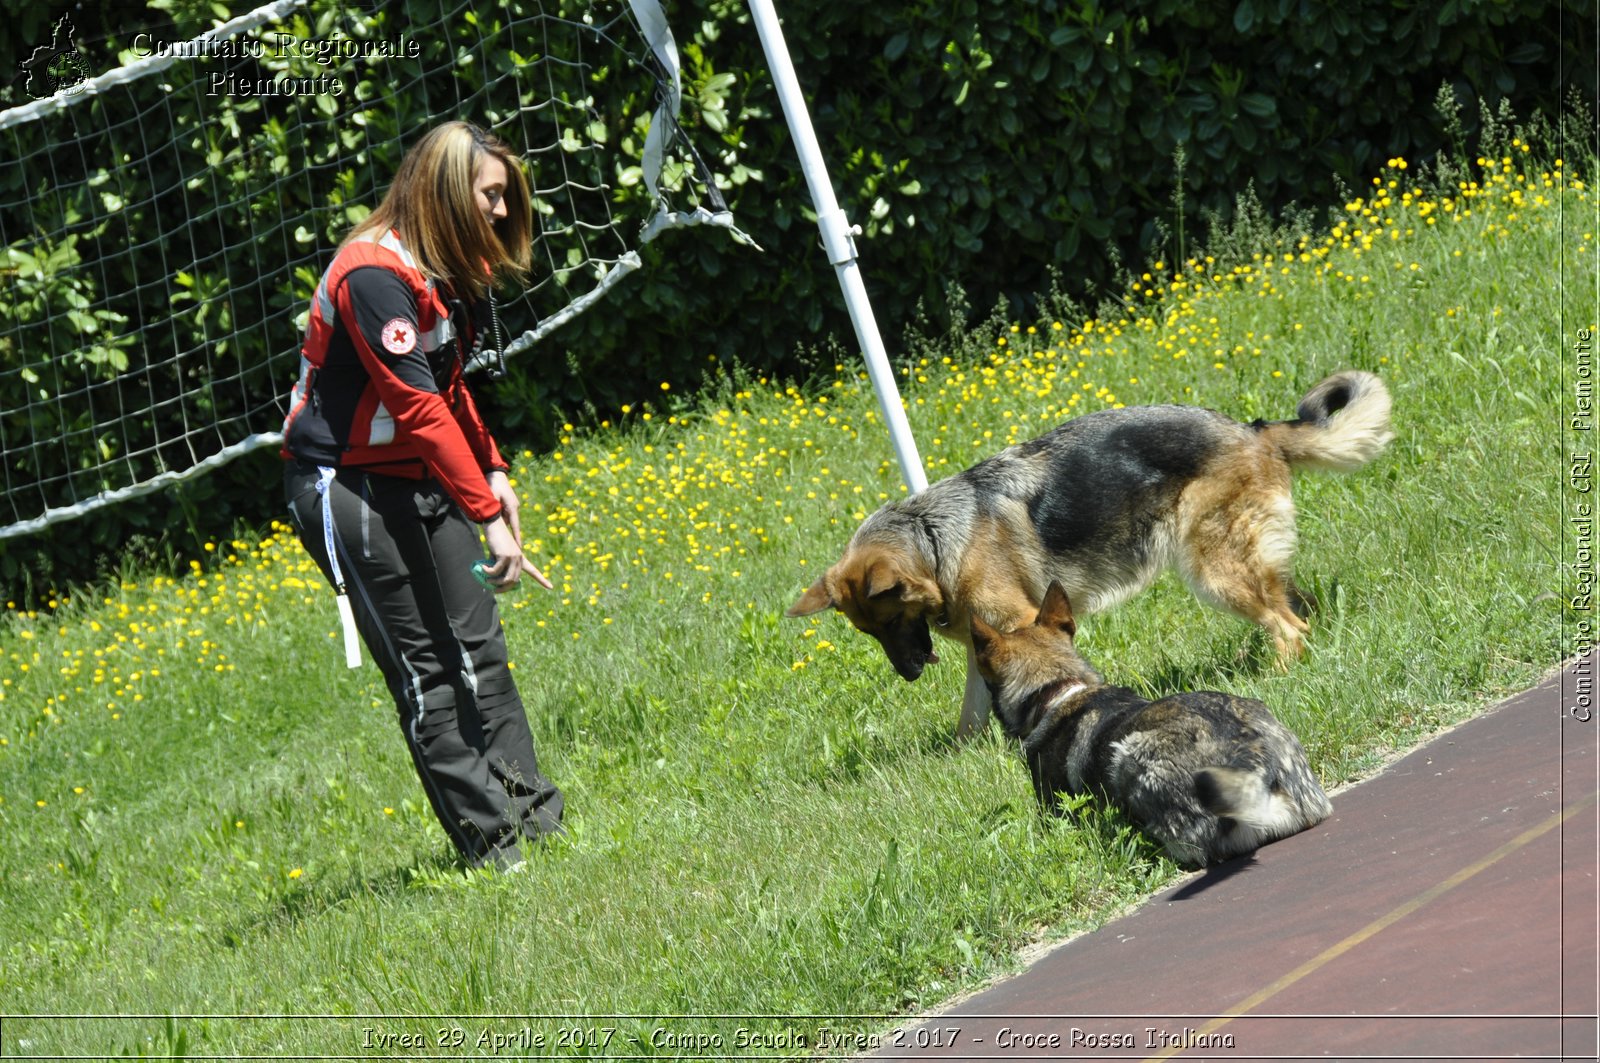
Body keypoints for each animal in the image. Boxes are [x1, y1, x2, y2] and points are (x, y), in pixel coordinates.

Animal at [793, 369, 1395, 736]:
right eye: (868, 632)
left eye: (890, 620)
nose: (909, 674)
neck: (933, 537)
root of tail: (1254, 430)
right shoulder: (983, 641)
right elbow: (971, 712)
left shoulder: (1019, 623)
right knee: (1298, 609)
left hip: (1216, 570)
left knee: (1289, 626)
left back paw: (1274, 678)